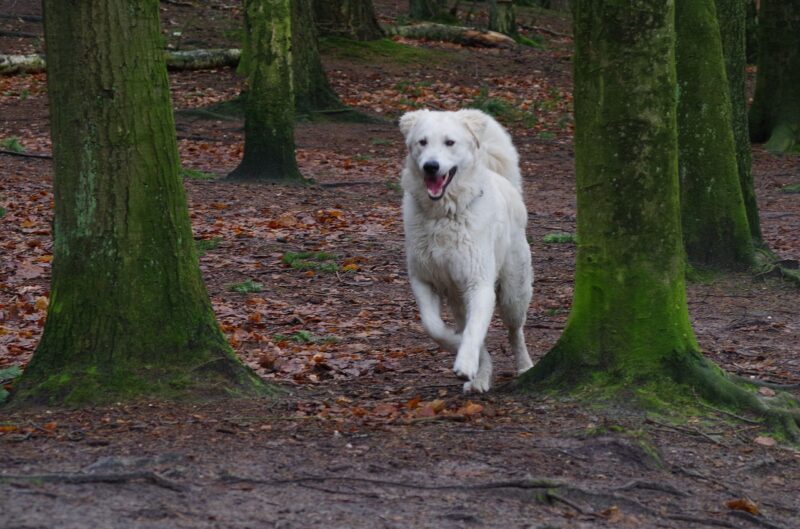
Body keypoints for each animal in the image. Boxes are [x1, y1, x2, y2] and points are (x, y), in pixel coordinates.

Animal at [398, 108, 532, 392]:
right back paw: (481, 377)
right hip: (458, 300)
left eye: (450, 142)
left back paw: (525, 367)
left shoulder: (478, 284)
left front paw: (466, 363)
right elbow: (434, 327)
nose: (431, 166)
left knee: (515, 331)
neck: (443, 216)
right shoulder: (423, 280)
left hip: (513, 293)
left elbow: (475, 330)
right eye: (422, 142)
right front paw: (457, 346)